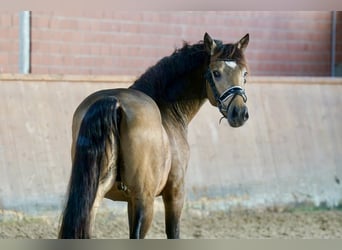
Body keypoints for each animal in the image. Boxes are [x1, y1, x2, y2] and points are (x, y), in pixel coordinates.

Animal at [58, 32, 250, 238]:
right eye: (216, 73)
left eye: (244, 74)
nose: (239, 113)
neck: (165, 109)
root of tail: (114, 101)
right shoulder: (175, 193)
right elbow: (173, 232)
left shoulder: (130, 201)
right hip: (145, 200)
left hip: (93, 195)